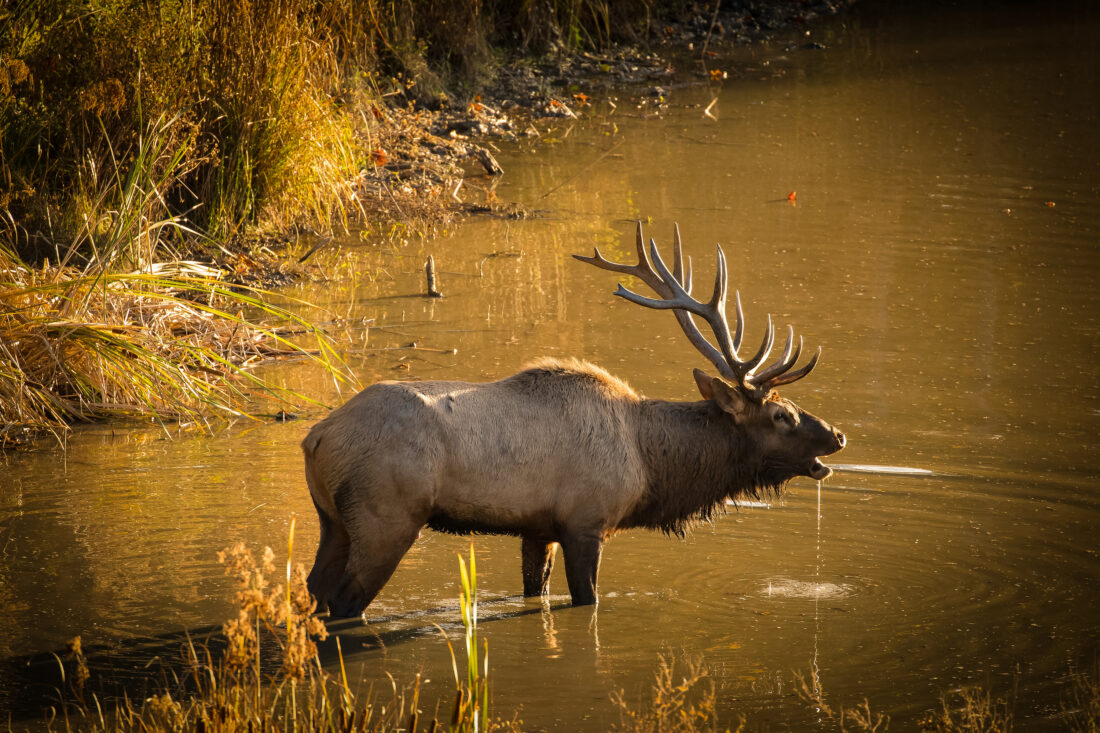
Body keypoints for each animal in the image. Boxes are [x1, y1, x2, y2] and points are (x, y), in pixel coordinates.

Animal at [302, 223, 845, 617]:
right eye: (781, 415)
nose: (837, 435)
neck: (651, 466)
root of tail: (316, 438)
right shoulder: (587, 520)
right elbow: (587, 600)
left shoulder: (537, 528)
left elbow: (534, 592)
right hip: (386, 517)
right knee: (345, 602)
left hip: (333, 520)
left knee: (313, 590)